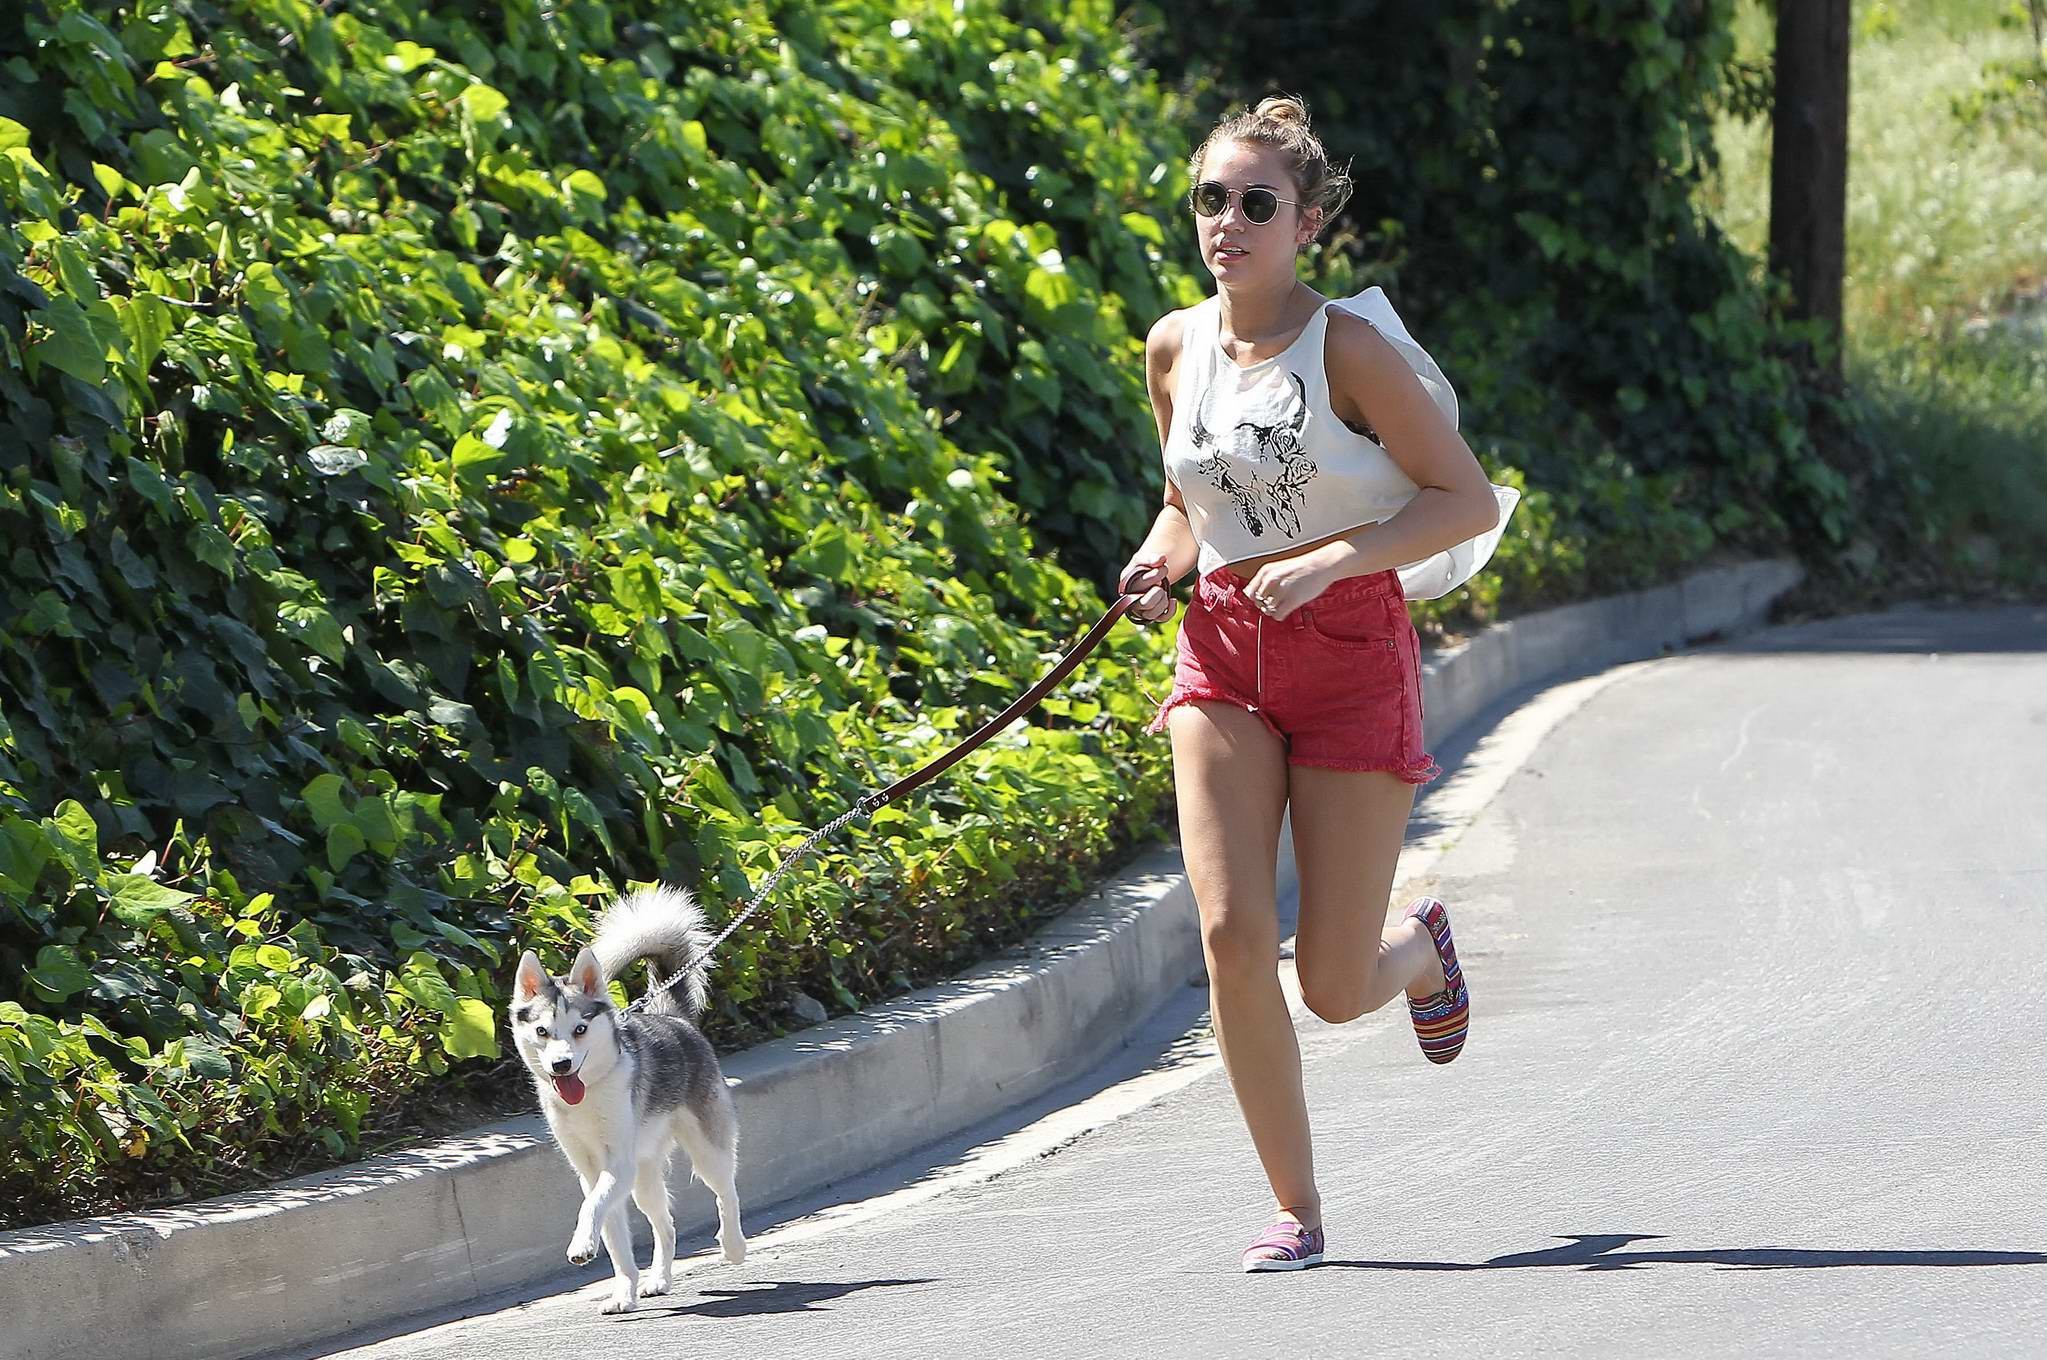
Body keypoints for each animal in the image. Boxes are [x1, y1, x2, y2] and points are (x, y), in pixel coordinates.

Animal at [509, 888, 749, 1310]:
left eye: (580, 1029)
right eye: (541, 1031)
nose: (561, 1064)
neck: (589, 1093)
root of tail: (674, 1018)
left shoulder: (617, 1165)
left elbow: (591, 1207)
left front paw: (581, 1245)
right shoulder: (591, 1172)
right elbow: (613, 1235)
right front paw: (624, 1290)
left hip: (707, 1151)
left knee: (726, 1193)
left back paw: (734, 1246)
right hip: (644, 1176)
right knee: (665, 1225)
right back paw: (659, 1279)